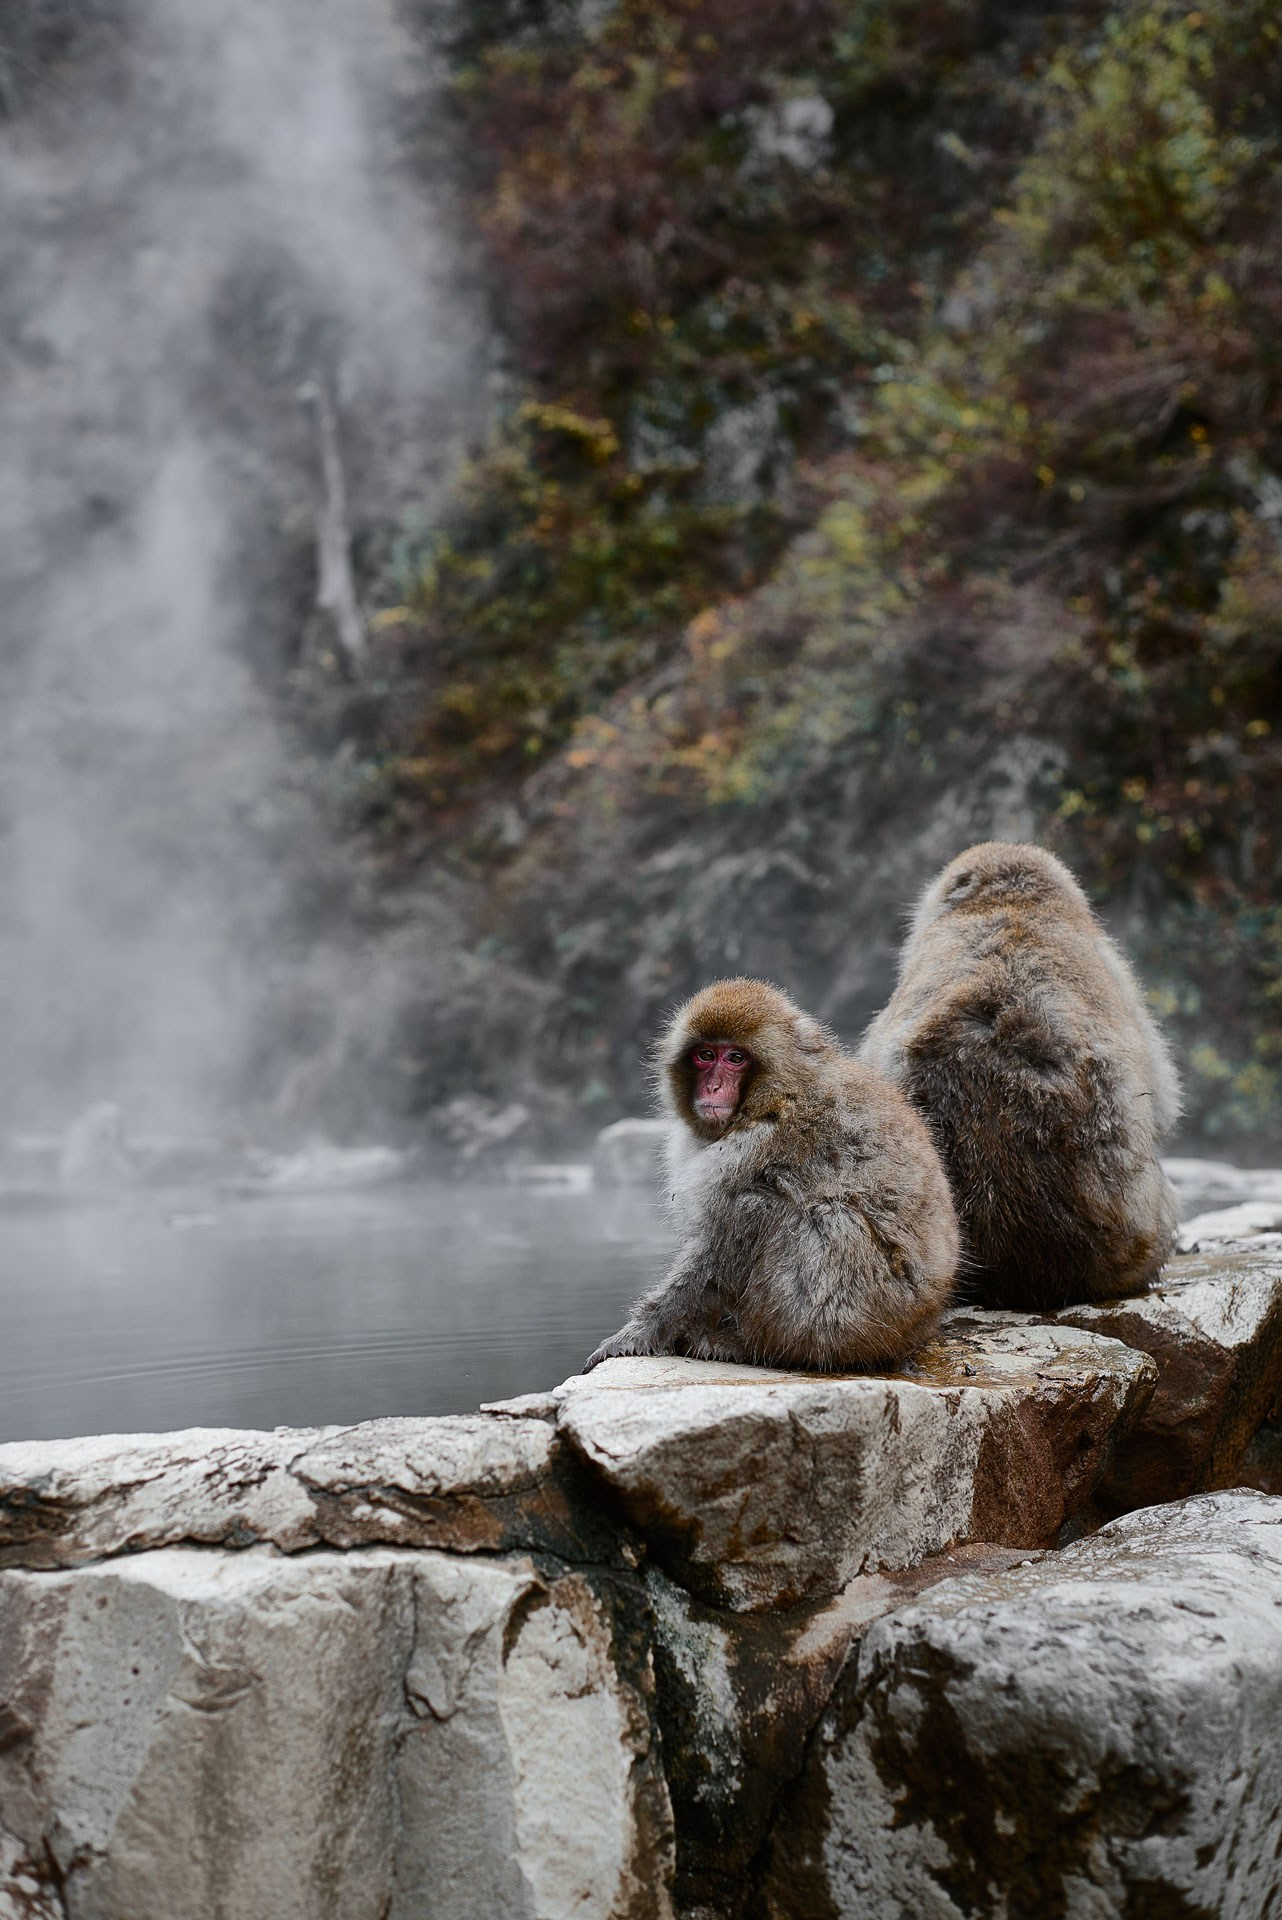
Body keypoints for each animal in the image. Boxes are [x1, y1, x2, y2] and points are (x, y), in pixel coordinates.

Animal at [583, 978, 960, 1373]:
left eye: (736, 1058)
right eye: (705, 1055)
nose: (713, 1088)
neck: (775, 1096)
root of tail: (919, 1329)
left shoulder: (755, 1146)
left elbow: (717, 1251)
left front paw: (639, 1332)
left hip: (859, 1314)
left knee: (789, 1210)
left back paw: (753, 1344)